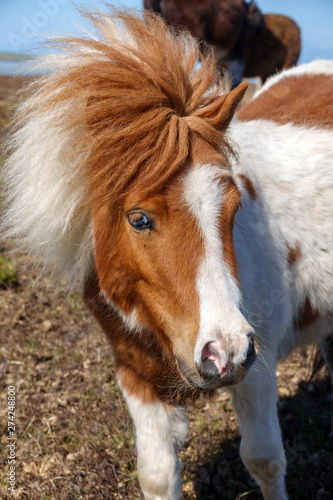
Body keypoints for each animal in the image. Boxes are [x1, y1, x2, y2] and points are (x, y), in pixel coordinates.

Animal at [2, 7, 332, 500]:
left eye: (234, 206)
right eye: (138, 218)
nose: (224, 352)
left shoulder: (258, 364)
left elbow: (264, 460)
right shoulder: (136, 375)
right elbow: (157, 474)